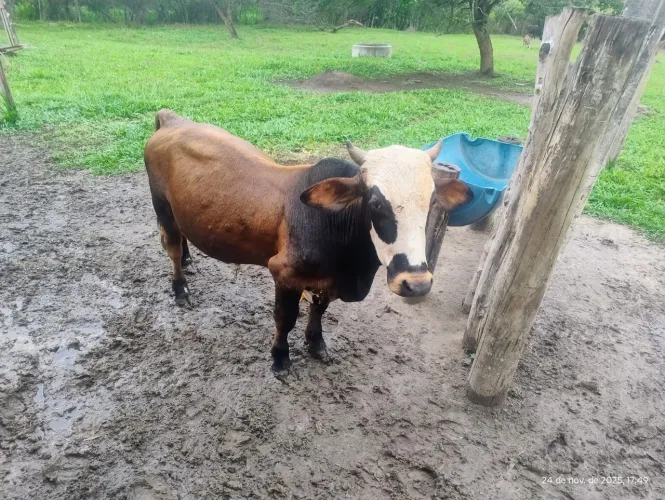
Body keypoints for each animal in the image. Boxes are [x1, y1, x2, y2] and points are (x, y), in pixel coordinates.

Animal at [144, 110, 472, 375]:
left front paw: (316, 344)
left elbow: (320, 309)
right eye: (376, 203)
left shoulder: (327, 279)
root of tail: (173, 120)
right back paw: (181, 288)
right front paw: (280, 358)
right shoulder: (284, 273)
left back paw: (189, 259)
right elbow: (285, 319)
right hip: (162, 207)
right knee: (171, 246)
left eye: (431, 201)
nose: (416, 284)